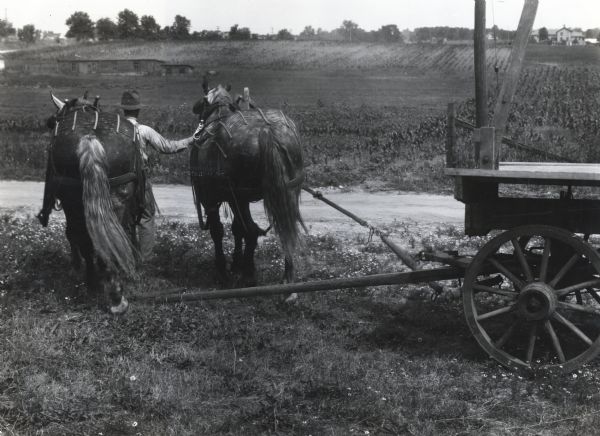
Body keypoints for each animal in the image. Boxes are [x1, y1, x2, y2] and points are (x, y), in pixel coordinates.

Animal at [40, 93, 143, 314]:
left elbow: (74, 236)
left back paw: (94, 283)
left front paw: (77, 267)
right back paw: (116, 296)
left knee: (87, 241)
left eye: (54, 120)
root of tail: (90, 138)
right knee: (113, 239)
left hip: (73, 201)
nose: (49, 122)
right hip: (116, 200)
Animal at [191, 83, 304, 294]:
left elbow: (219, 231)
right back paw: (287, 280)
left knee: (251, 230)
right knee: (286, 230)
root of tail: (269, 134)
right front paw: (236, 263)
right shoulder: (235, 198)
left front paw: (224, 270)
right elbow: (237, 229)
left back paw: (249, 274)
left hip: (240, 196)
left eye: (202, 101)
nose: (194, 109)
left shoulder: (212, 200)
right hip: (288, 190)